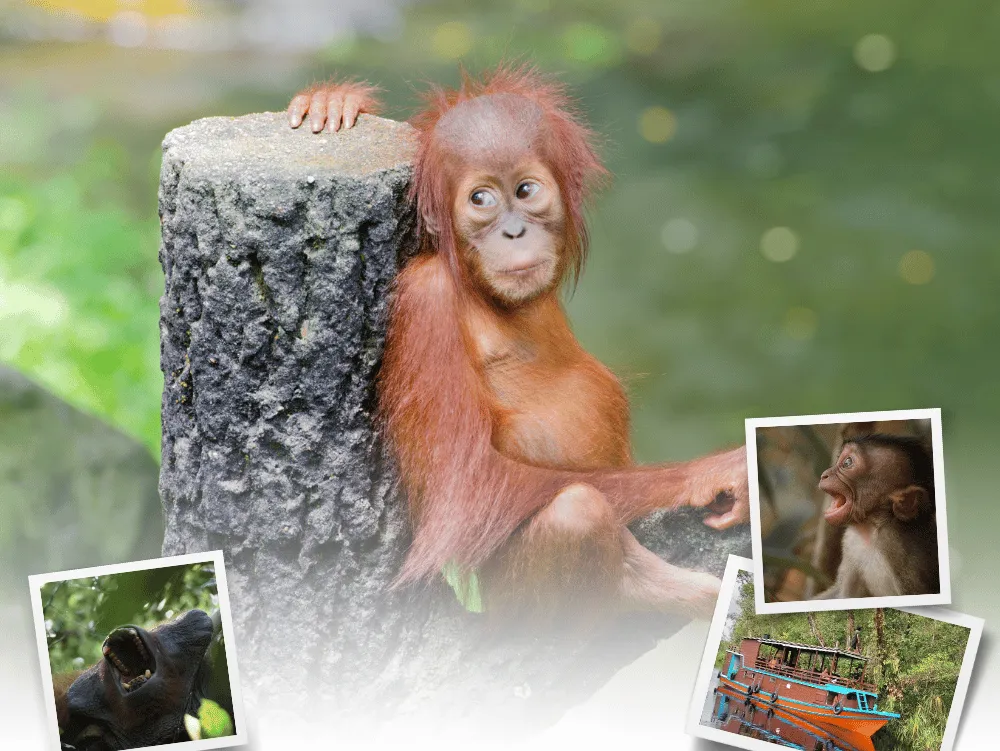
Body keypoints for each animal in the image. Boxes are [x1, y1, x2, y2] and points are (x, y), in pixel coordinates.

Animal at [288, 66, 750, 618]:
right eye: (481, 200)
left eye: (526, 190)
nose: (513, 232)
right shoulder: (427, 301)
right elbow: (468, 489)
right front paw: (718, 472)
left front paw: (334, 102)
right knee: (577, 510)